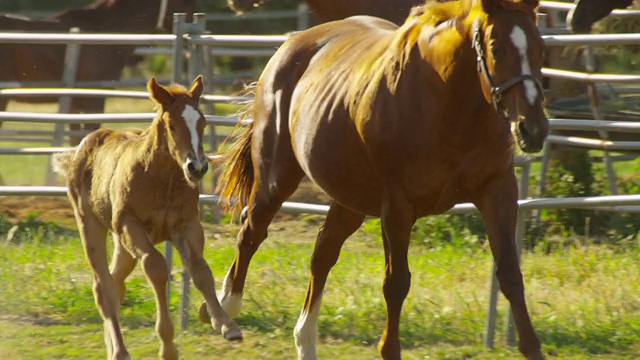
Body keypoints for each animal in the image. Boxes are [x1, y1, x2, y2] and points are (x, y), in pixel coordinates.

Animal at [52, 76, 242, 360]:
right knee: (104, 288)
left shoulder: (187, 227)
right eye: (172, 125)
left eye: (202, 123)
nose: (197, 167)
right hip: (91, 225)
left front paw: (226, 325)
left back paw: (112, 346)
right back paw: (120, 351)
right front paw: (168, 344)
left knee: (116, 281)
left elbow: (201, 270)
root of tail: (84, 145)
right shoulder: (131, 226)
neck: (161, 180)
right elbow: (156, 267)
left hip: (122, 244)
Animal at [214, 0, 544, 358]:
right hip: (276, 180)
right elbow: (396, 282)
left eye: (540, 45)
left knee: (322, 253)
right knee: (251, 233)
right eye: (496, 49)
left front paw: (532, 347)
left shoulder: (498, 191)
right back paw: (224, 311)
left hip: (350, 200)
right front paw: (389, 348)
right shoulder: (398, 207)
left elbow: (510, 274)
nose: (533, 129)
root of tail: (290, 44)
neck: (446, 104)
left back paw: (304, 340)